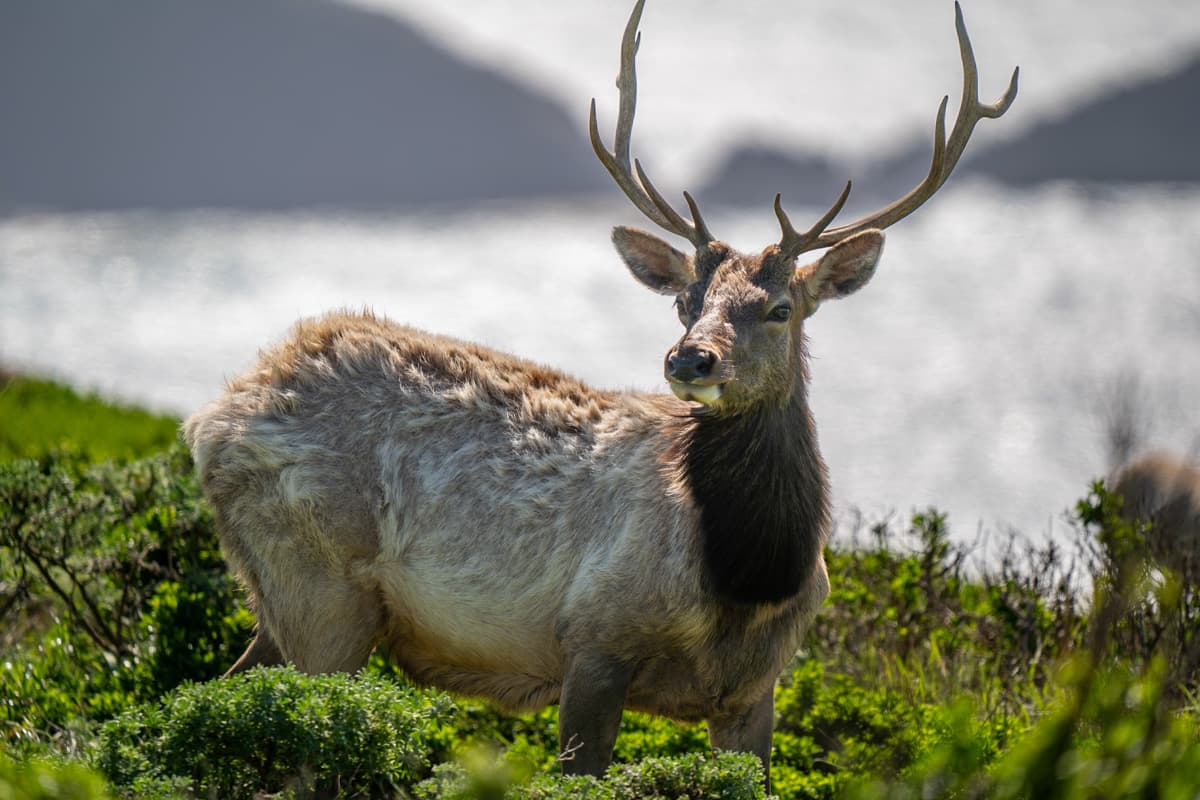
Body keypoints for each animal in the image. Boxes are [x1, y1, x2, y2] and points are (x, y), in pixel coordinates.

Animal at [183, 0, 1017, 787]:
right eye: (686, 301)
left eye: (780, 308)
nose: (690, 359)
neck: (750, 578)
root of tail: (211, 419)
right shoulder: (594, 639)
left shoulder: (757, 692)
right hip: (322, 590)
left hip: (283, 600)